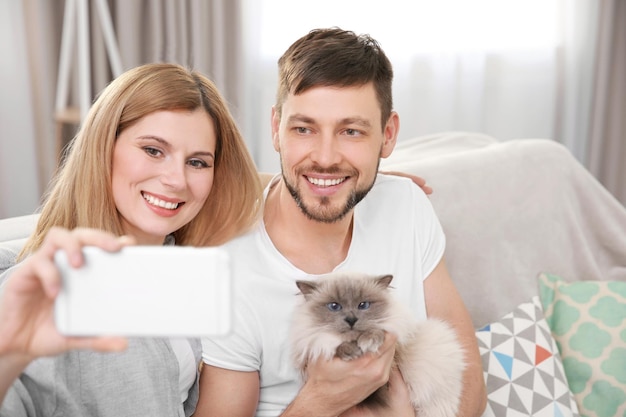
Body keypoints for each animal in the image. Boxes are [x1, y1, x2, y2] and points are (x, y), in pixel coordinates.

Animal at [290, 272, 460, 414]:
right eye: (334, 306)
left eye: (363, 305)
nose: (351, 320)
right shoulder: (315, 347)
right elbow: (331, 344)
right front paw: (350, 351)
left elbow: (377, 330)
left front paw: (369, 341)